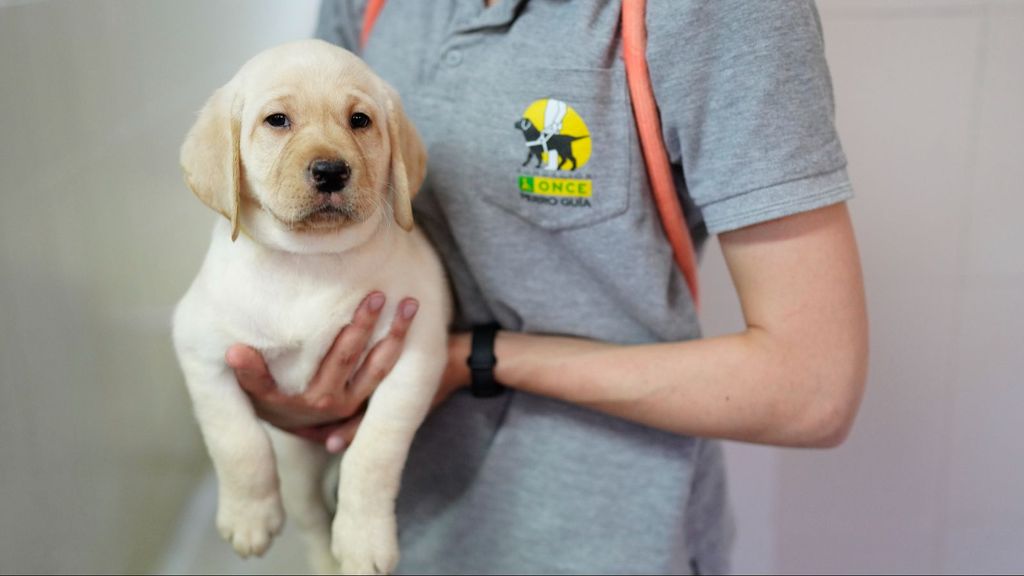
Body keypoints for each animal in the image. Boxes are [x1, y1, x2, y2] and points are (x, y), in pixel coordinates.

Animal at [172, 38, 448, 569]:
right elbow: (236, 440)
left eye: (360, 120)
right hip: (297, 464)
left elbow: (374, 451)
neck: (310, 262)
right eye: (277, 120)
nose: (330, 170)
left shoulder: (415, 353)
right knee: (312, 519)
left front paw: (363, 539)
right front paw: (249, 517)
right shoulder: (200, 348)